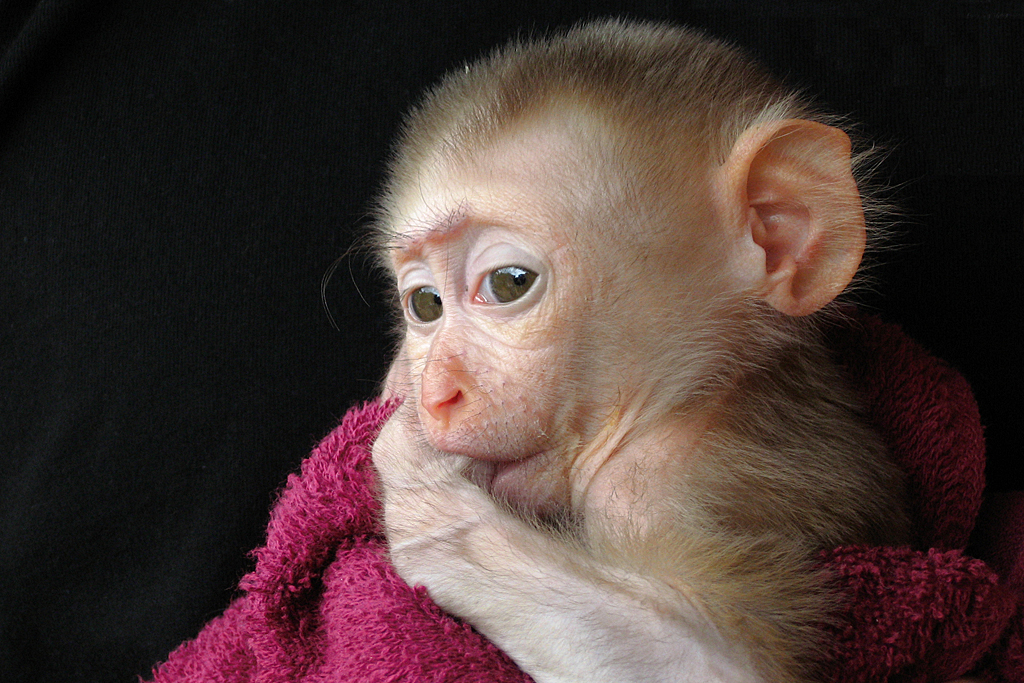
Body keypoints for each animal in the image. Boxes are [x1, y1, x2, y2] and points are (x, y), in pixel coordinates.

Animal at [370, 20, 913, 683]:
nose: (435, 397)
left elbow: (717, 659)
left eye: (509, 283)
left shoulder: (653, 489)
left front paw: (422, 487)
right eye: (424, 304)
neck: (687, 402)